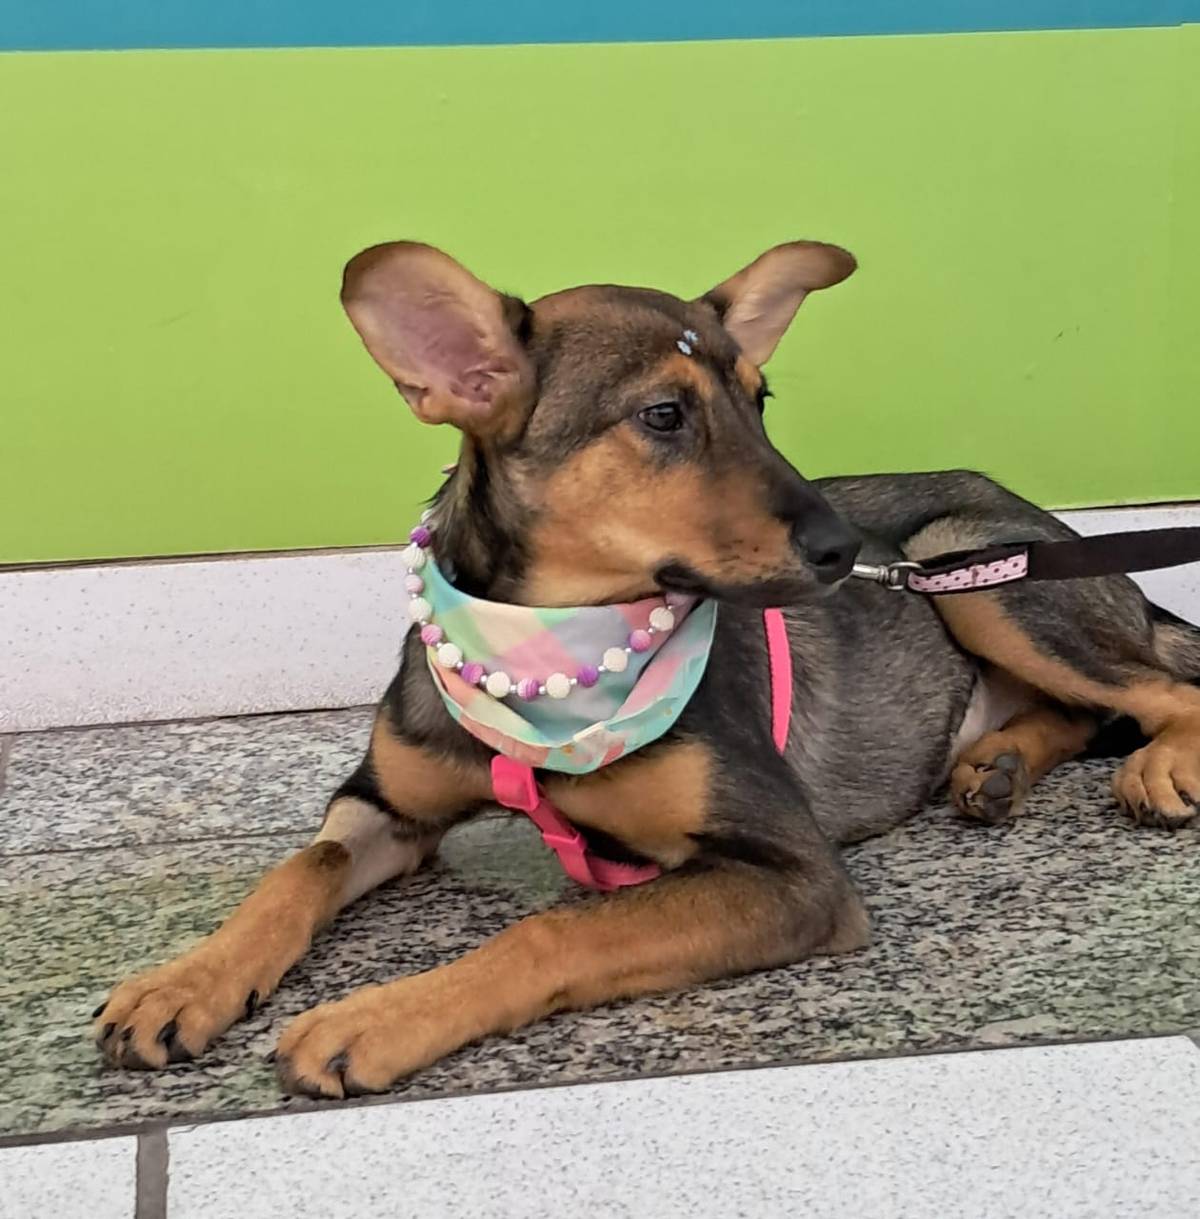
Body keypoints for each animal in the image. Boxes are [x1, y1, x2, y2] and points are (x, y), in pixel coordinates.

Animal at [93, 240, 1200, 1098]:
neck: (546, 653)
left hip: (971, 567)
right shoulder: (384, 805)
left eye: (761, 401)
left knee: (1163, 689)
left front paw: (374, 1017)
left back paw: (1155, 766)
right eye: (665, 416)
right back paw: (996, 765)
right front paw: (183, 982)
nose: (845, 550)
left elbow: (554, 932)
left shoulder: (792, 872)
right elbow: (298, 869)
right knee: (1086, 709)